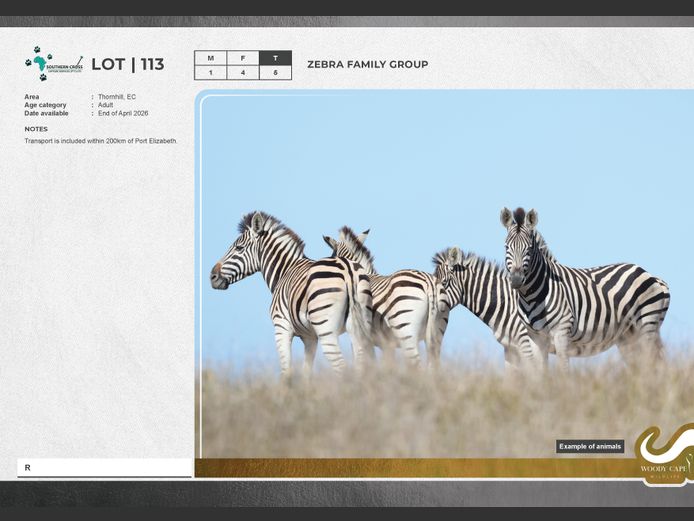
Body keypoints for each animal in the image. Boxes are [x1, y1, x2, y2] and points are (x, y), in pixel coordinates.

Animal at [210, 211, 374, 379]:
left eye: (239, 248)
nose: (212, 276)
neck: (285, 270)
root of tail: (348, 270)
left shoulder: (281, 327)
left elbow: (286, 372)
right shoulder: (310, 337)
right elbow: (306, 372)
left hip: (326, 328)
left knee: (341, 367)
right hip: (359, 328)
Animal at [500, 207, 670, 372]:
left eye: (529, 249)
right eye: (506, 247)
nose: (516, 280)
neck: (532, 296)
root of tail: (650, 275)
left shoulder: (562, 331)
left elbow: (563, 370)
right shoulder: (535, 337)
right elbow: (540, 372)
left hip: (646, 326)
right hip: (628, 335)